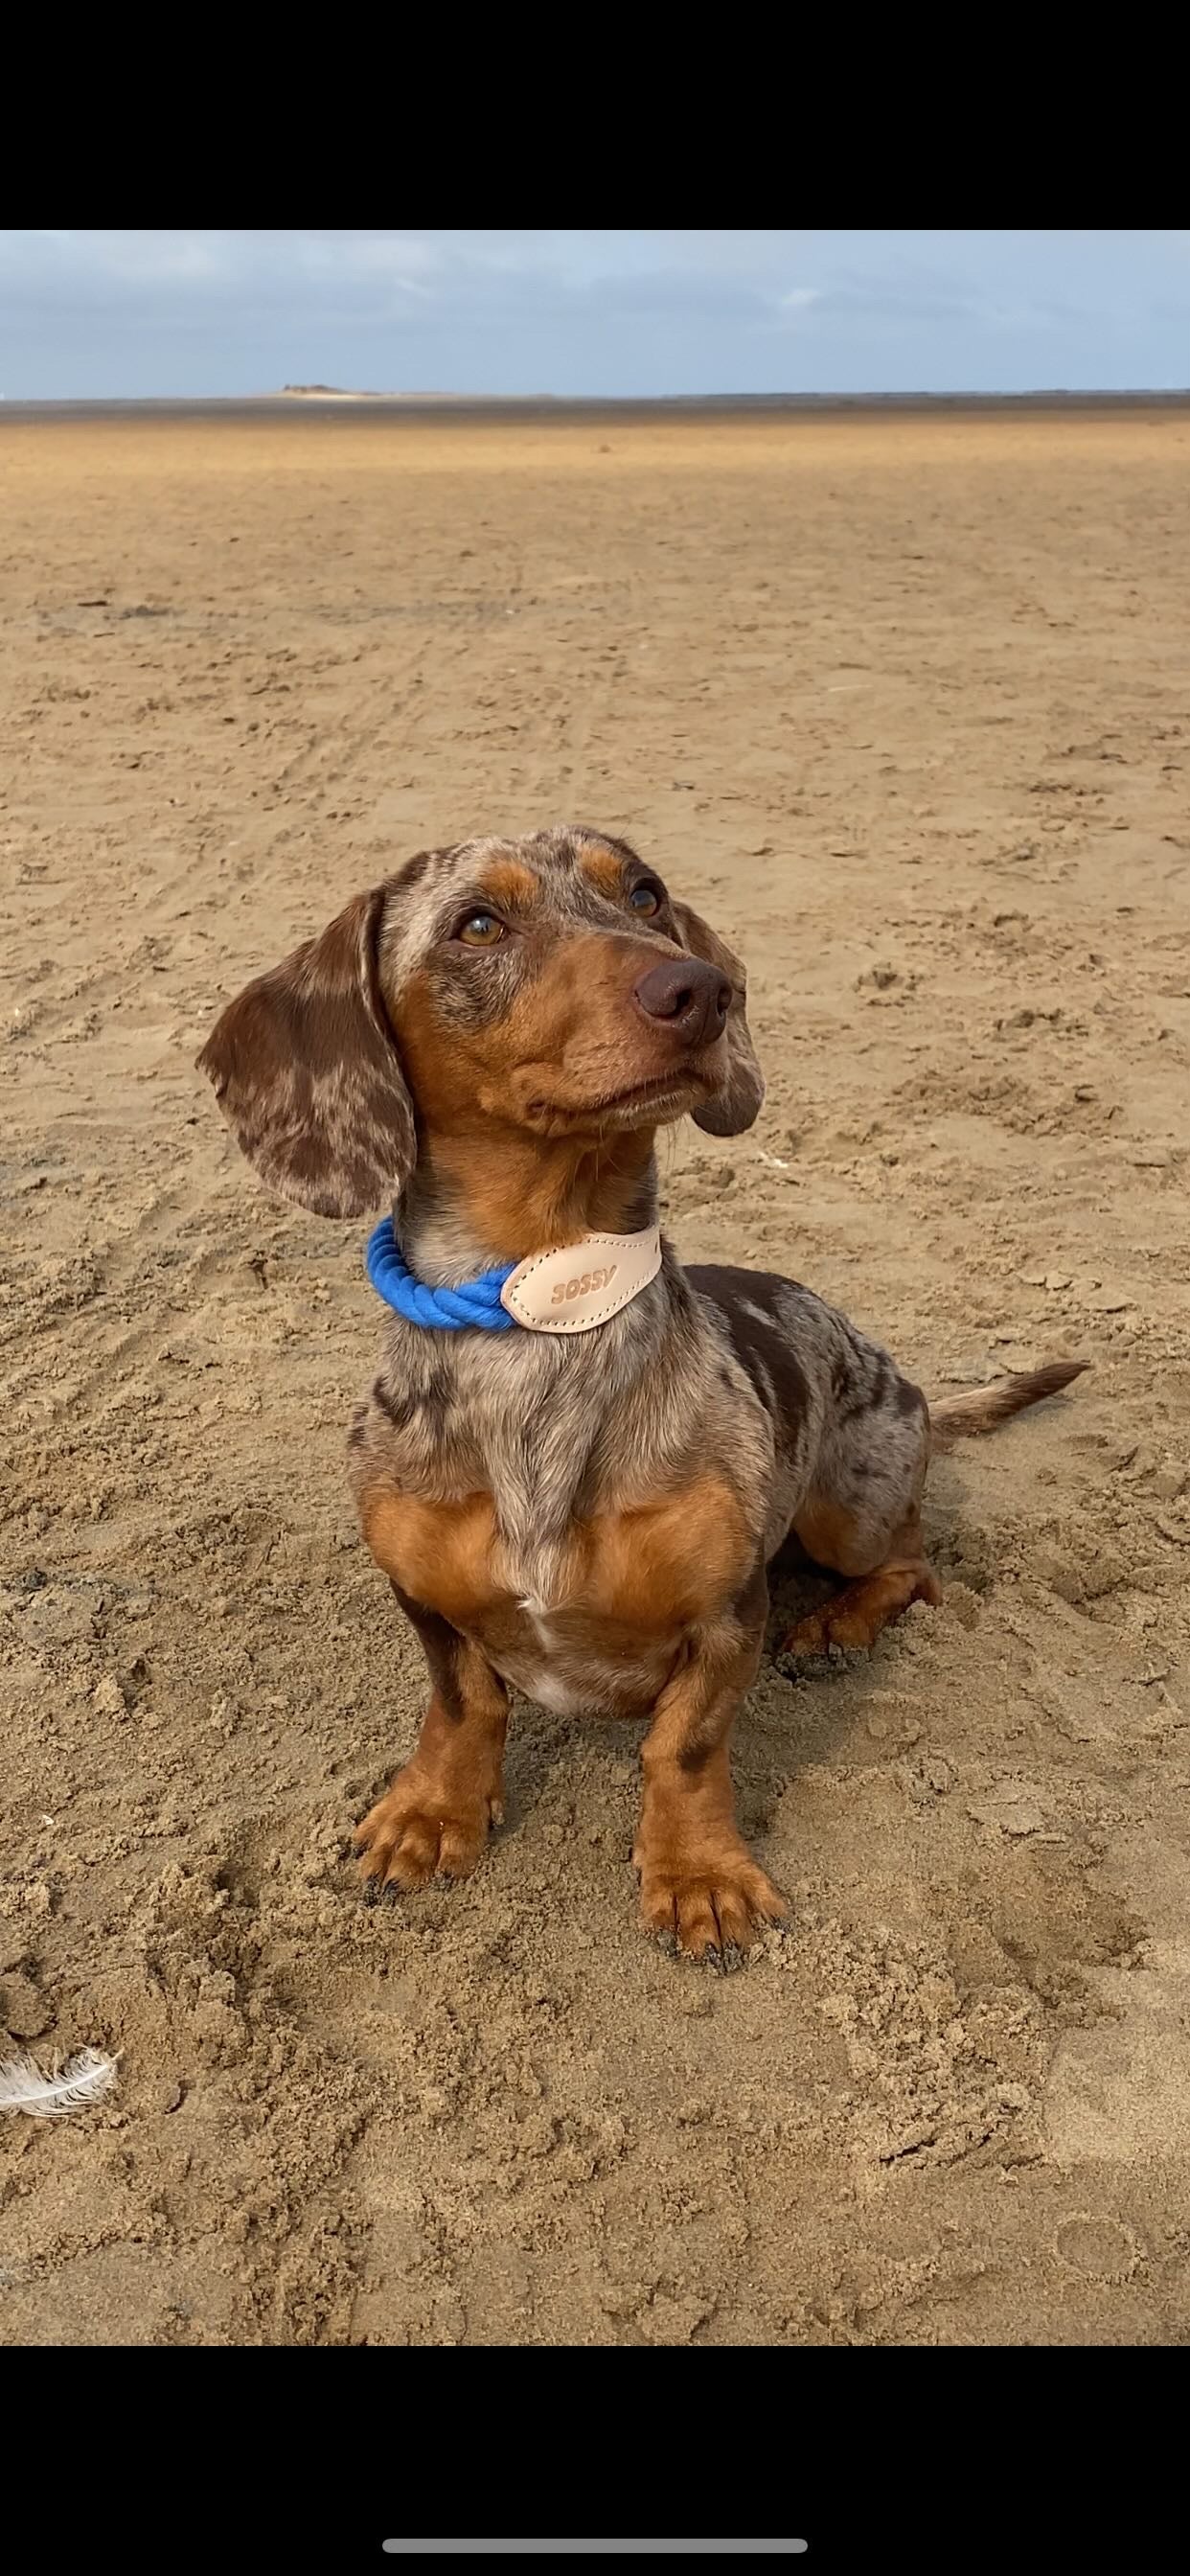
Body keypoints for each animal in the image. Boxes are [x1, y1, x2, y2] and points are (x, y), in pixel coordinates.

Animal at [196, 824, 1087, 1947]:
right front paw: (432, 1812)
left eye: (647, 895)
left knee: (914, 1566)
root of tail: (905, 1376)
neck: (539, 1320)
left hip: (849, 1510)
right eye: (476, 925)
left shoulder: (726, 1614)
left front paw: (698, 1871)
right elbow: (463, 1705)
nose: (702, 990)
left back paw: (836, 1627)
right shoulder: (424, 1600)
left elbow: (685, 1746)